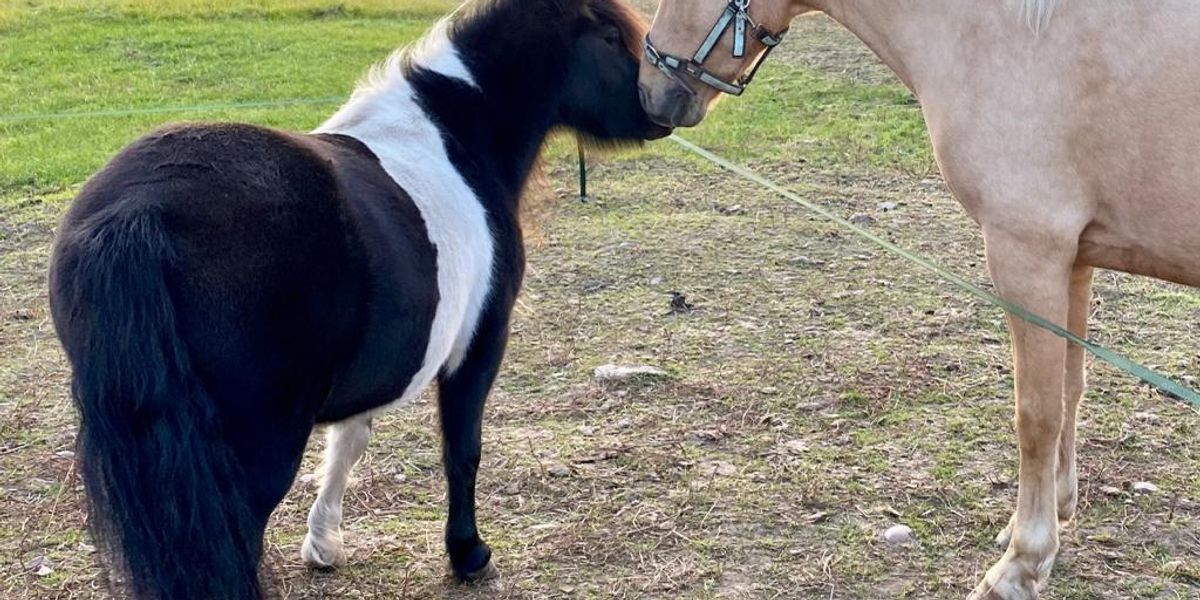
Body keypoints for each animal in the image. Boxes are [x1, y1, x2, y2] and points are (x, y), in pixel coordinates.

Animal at [47, 0, 667, 597]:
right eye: (611, 36)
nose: (664, 109)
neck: (452, 136)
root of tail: (138, 211)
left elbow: (348, 443)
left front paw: (324, 545)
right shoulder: (479, 345)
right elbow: (462, 451)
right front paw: (468, 555)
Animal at [636, 0, 1200, 598]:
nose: (649, 92)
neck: (1015, 37)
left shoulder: (1028, 253)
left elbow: (1036, 414)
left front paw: (1021, 563)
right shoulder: (1074, 259)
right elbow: (1070, 390)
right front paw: (1056, 513)